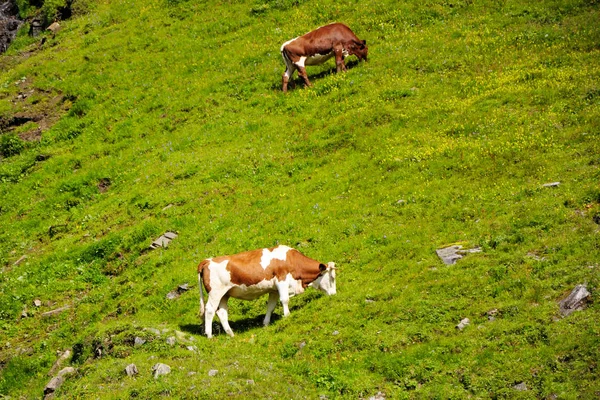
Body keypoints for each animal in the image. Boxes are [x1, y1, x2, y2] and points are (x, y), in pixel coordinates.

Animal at [198, 244, 336, 338]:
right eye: (331, 277)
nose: (334, 295)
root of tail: (208, 260)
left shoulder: (274, 289)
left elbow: (271, 306)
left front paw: (265, 324)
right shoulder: (282, 280)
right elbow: (285, 300)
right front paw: (287, 316)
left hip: (224, 295)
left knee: (221, 312)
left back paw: (231, 334)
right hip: (215, 293)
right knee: (209, 310)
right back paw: (209, 335)